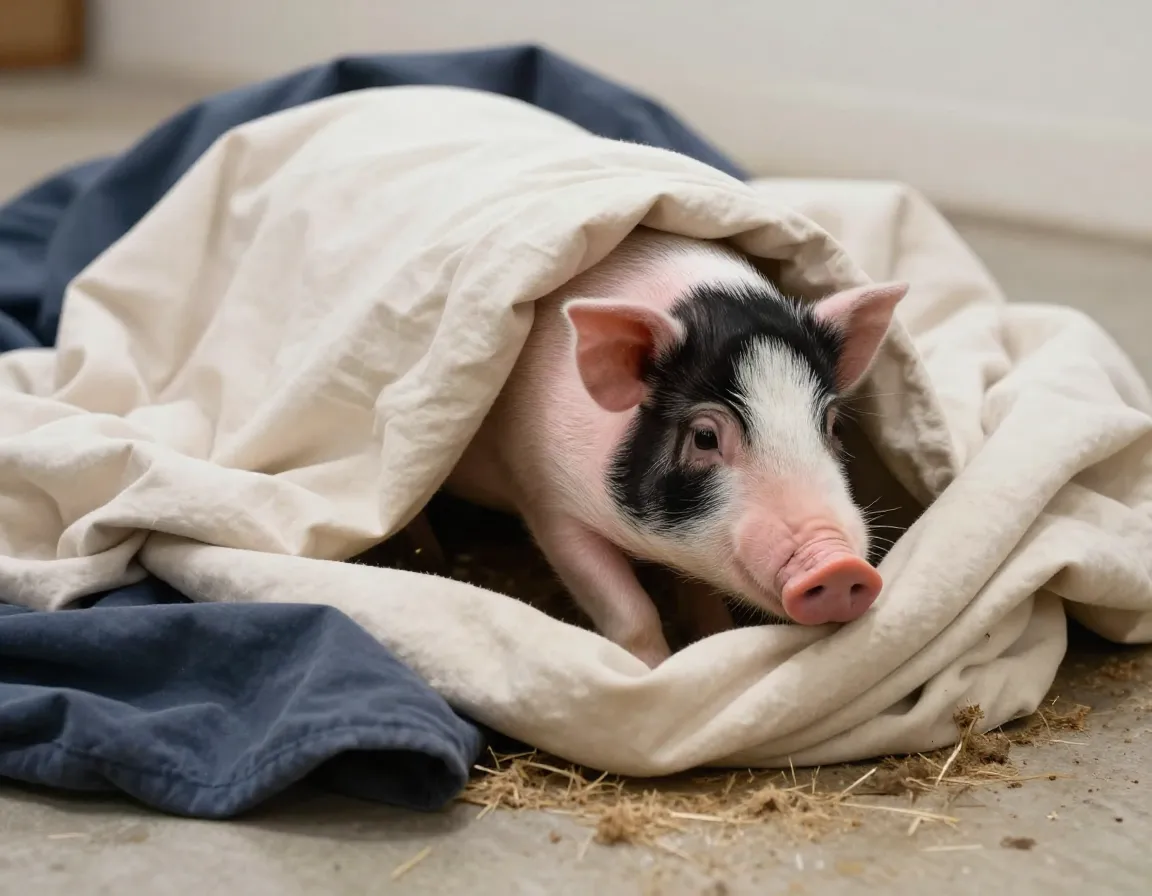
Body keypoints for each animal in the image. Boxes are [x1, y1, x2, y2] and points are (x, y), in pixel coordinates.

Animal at [444, 226, 908, 667]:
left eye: (833, 425)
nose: (838, 564)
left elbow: (701, 597)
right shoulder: (547, 500)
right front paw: (653, 671)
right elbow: (632, 613)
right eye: (704, 437)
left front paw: (713, 635)